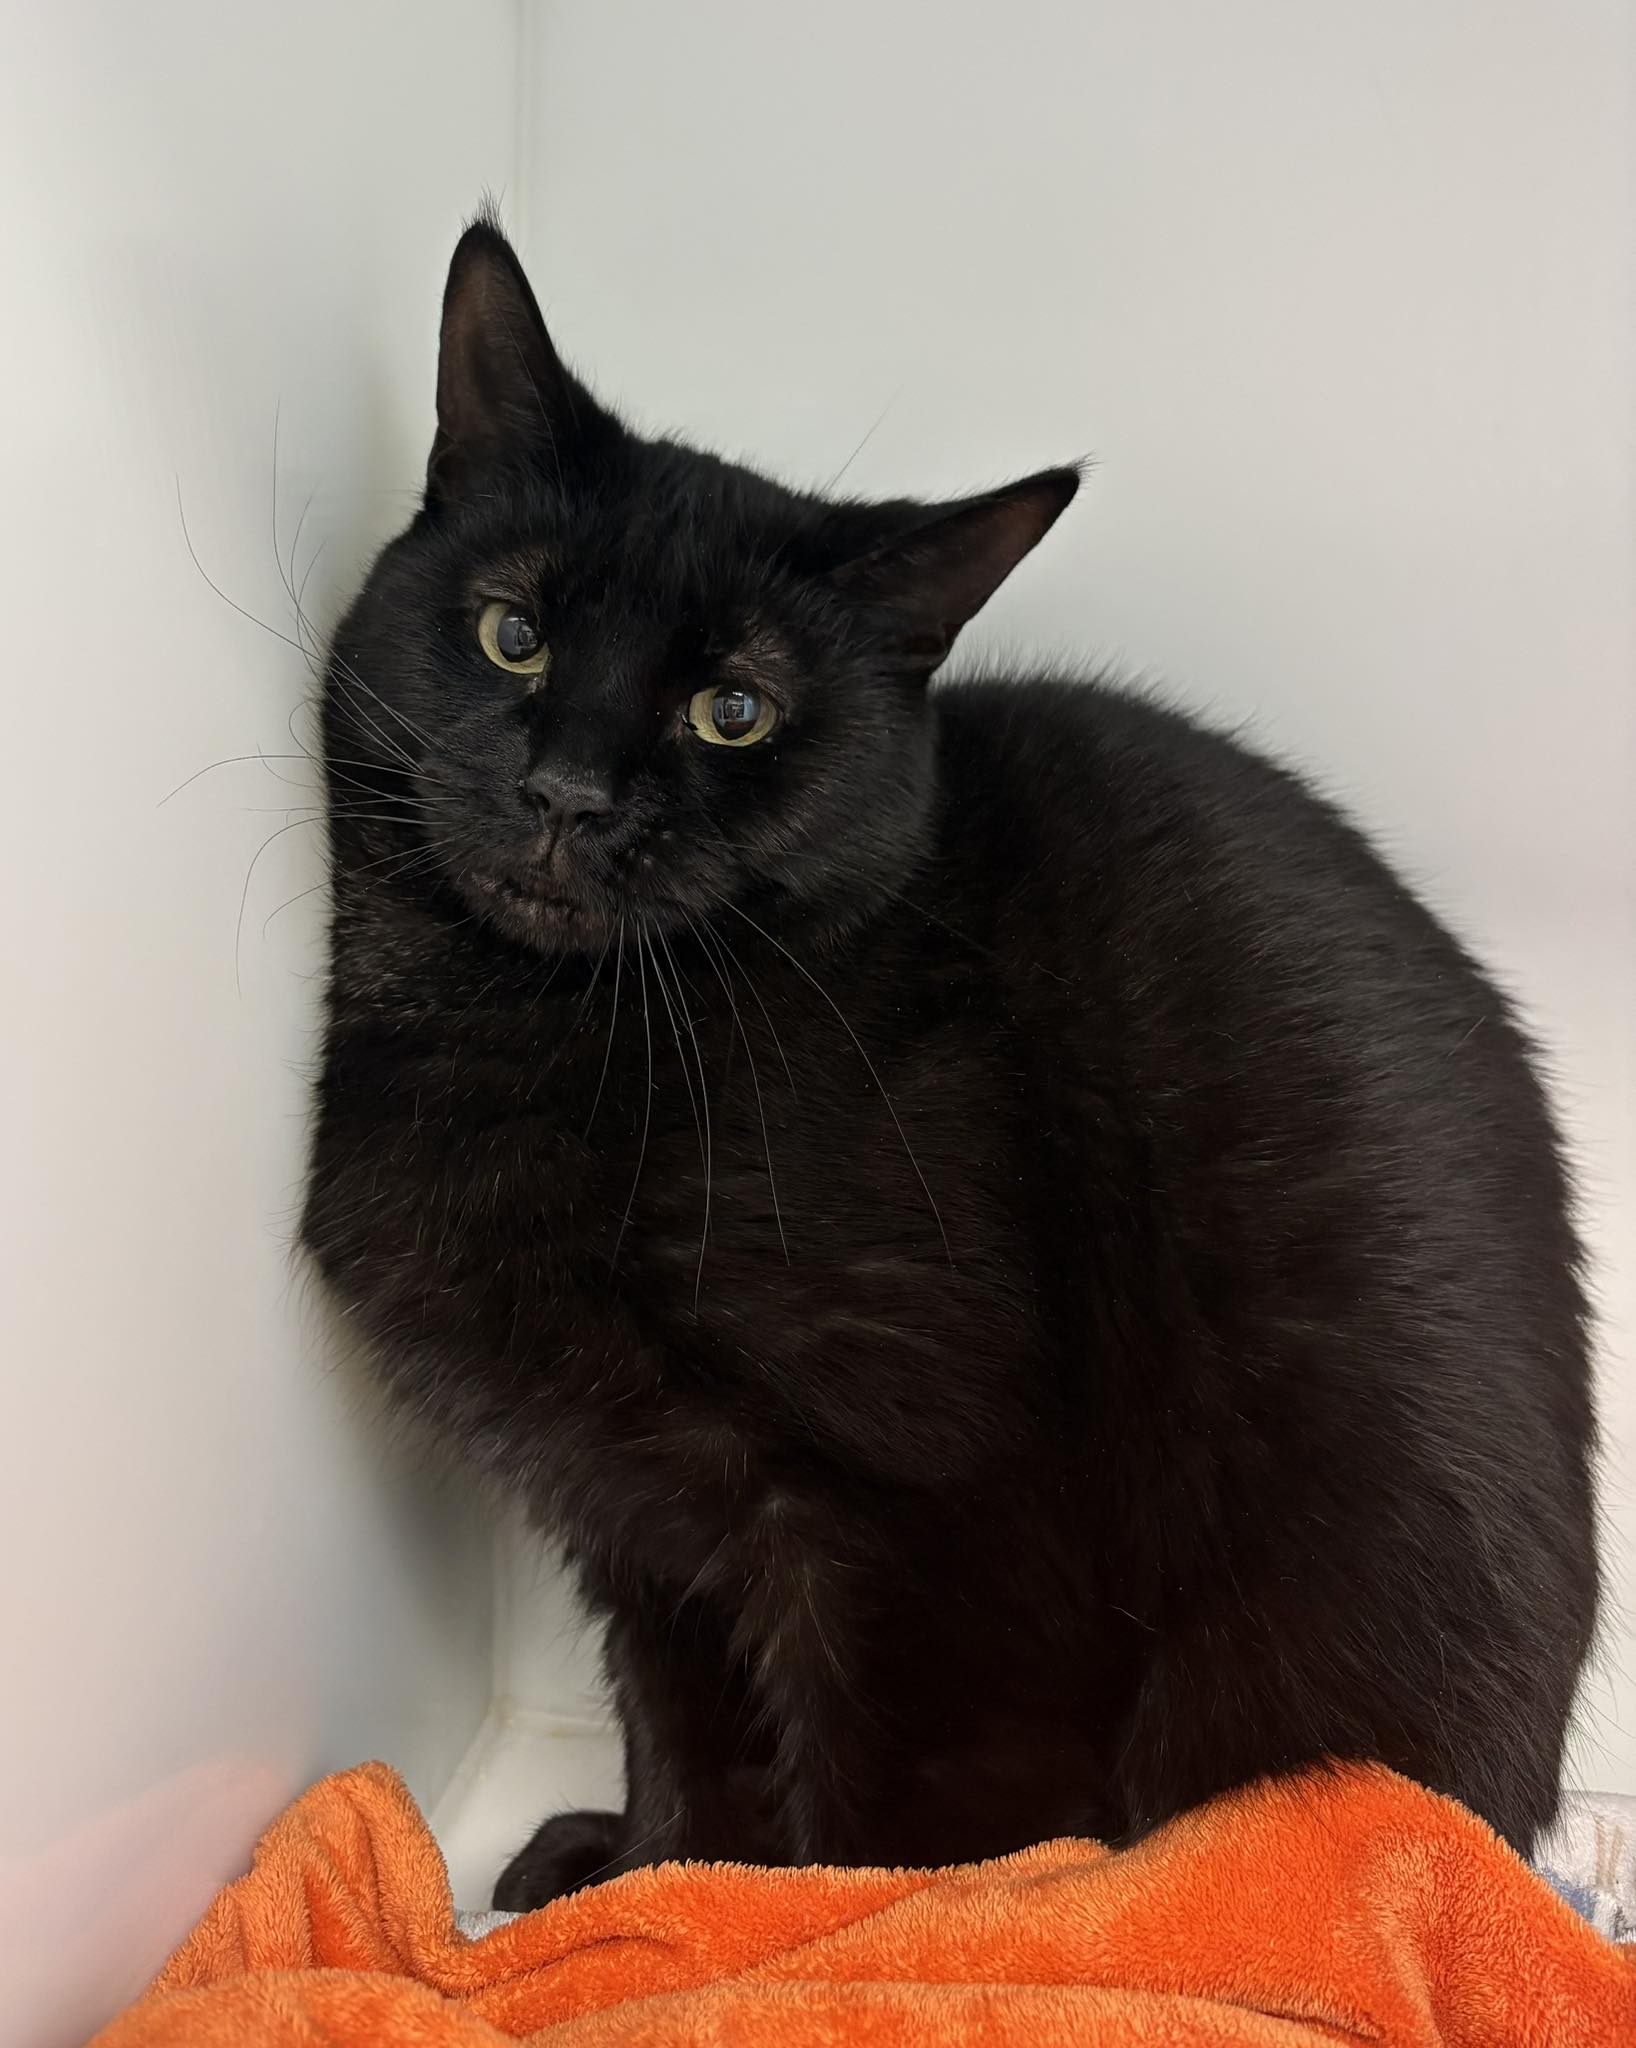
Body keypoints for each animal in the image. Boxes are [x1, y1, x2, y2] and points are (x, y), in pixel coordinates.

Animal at [301, 215, 1598, 1910]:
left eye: (735, 710)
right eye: (511, 633)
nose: (566, 792)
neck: (549, 1028)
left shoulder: (928, 1516)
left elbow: (893, 1848)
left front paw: (801, 1940)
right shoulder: (641, 1502)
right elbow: (682, 1723)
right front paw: (654, 1883)